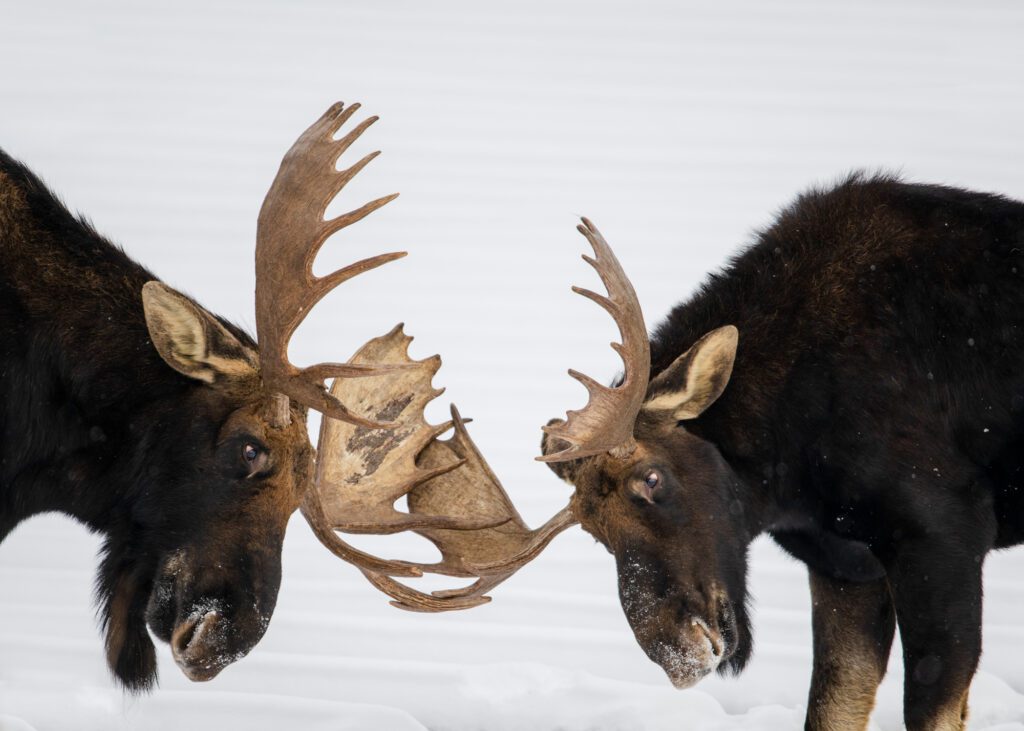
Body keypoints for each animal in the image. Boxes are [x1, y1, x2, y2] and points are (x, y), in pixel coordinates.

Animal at [309, 176, 1024, 731]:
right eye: (593, 531)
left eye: (653, 478)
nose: (679, 652)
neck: (790, 466)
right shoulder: (845, 564)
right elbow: (831, 709)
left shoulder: (943, 539)